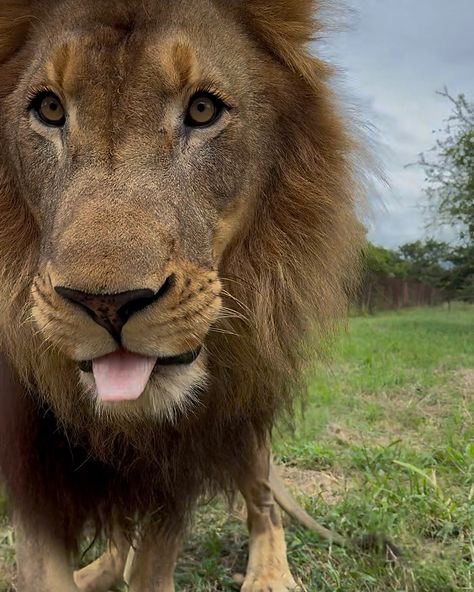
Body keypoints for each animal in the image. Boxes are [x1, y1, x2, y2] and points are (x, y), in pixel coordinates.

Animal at [0, 1, 364, 592]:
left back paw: (270, 575)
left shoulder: (180, 461)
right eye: (50, 109)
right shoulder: (29, 476)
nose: (107, 304)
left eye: (202, 109)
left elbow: (154, 564)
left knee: (263, 501)